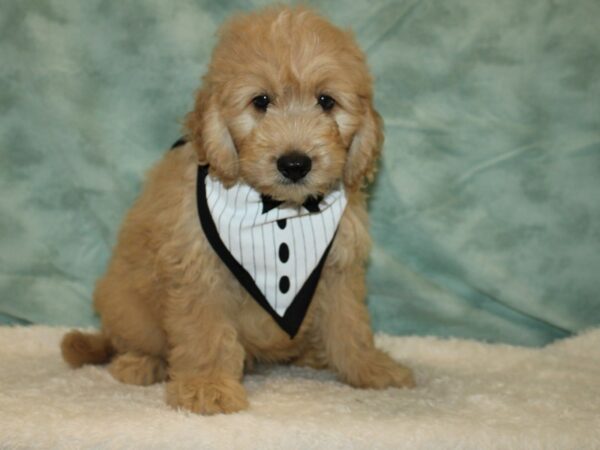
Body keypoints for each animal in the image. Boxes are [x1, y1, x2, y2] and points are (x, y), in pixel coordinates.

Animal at [63, 6, 414, 414]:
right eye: (260, 102)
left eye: (326, 101)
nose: (295, 164)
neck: (278, 212)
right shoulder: (198, 270)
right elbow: (203, 332)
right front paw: (207, 387)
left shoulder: (338, 268)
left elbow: (350, 324)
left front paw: (370, 367)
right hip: (125, 303)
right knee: (132, 339)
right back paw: (140, 362)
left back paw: (312, 354)